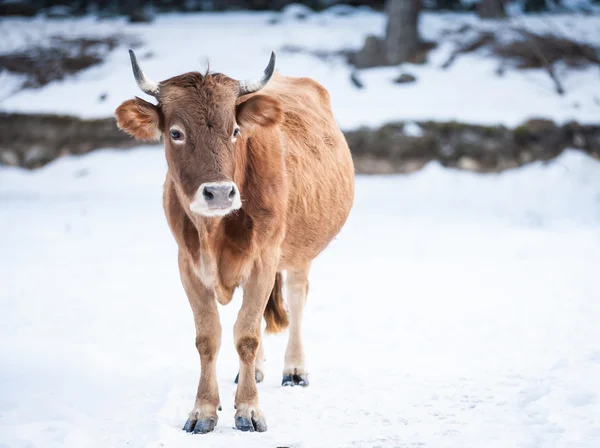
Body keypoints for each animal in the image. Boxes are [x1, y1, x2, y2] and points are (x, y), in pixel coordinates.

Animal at [115, 50, 354, 434]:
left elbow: (246, 334)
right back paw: (253, 372)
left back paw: (294, 369)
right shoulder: (188, 264)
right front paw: (203, 410)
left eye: (236, 130)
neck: (214, 231)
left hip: (300, 251)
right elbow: (208, 337)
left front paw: (249, 410)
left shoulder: (264, 261)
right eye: (176, 132)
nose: (219, 192)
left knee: (296, 299)